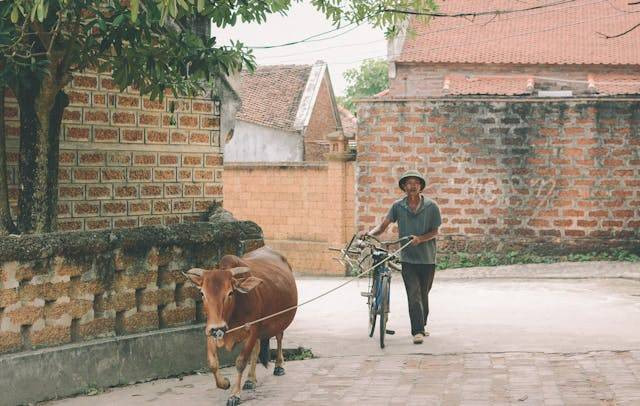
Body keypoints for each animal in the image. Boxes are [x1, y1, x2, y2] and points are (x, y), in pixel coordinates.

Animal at [182, 246, 298, 406]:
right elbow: (212, 363)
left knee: (279, 337)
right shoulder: (211, 332)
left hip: (279, 320)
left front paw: (234, 395)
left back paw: (279, 366)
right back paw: (250, 379)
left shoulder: (252, 331)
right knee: (257, 349)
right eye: (202, 293)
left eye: (230, 293)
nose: (217, 327)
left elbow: (241, 362)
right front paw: (224, 383)